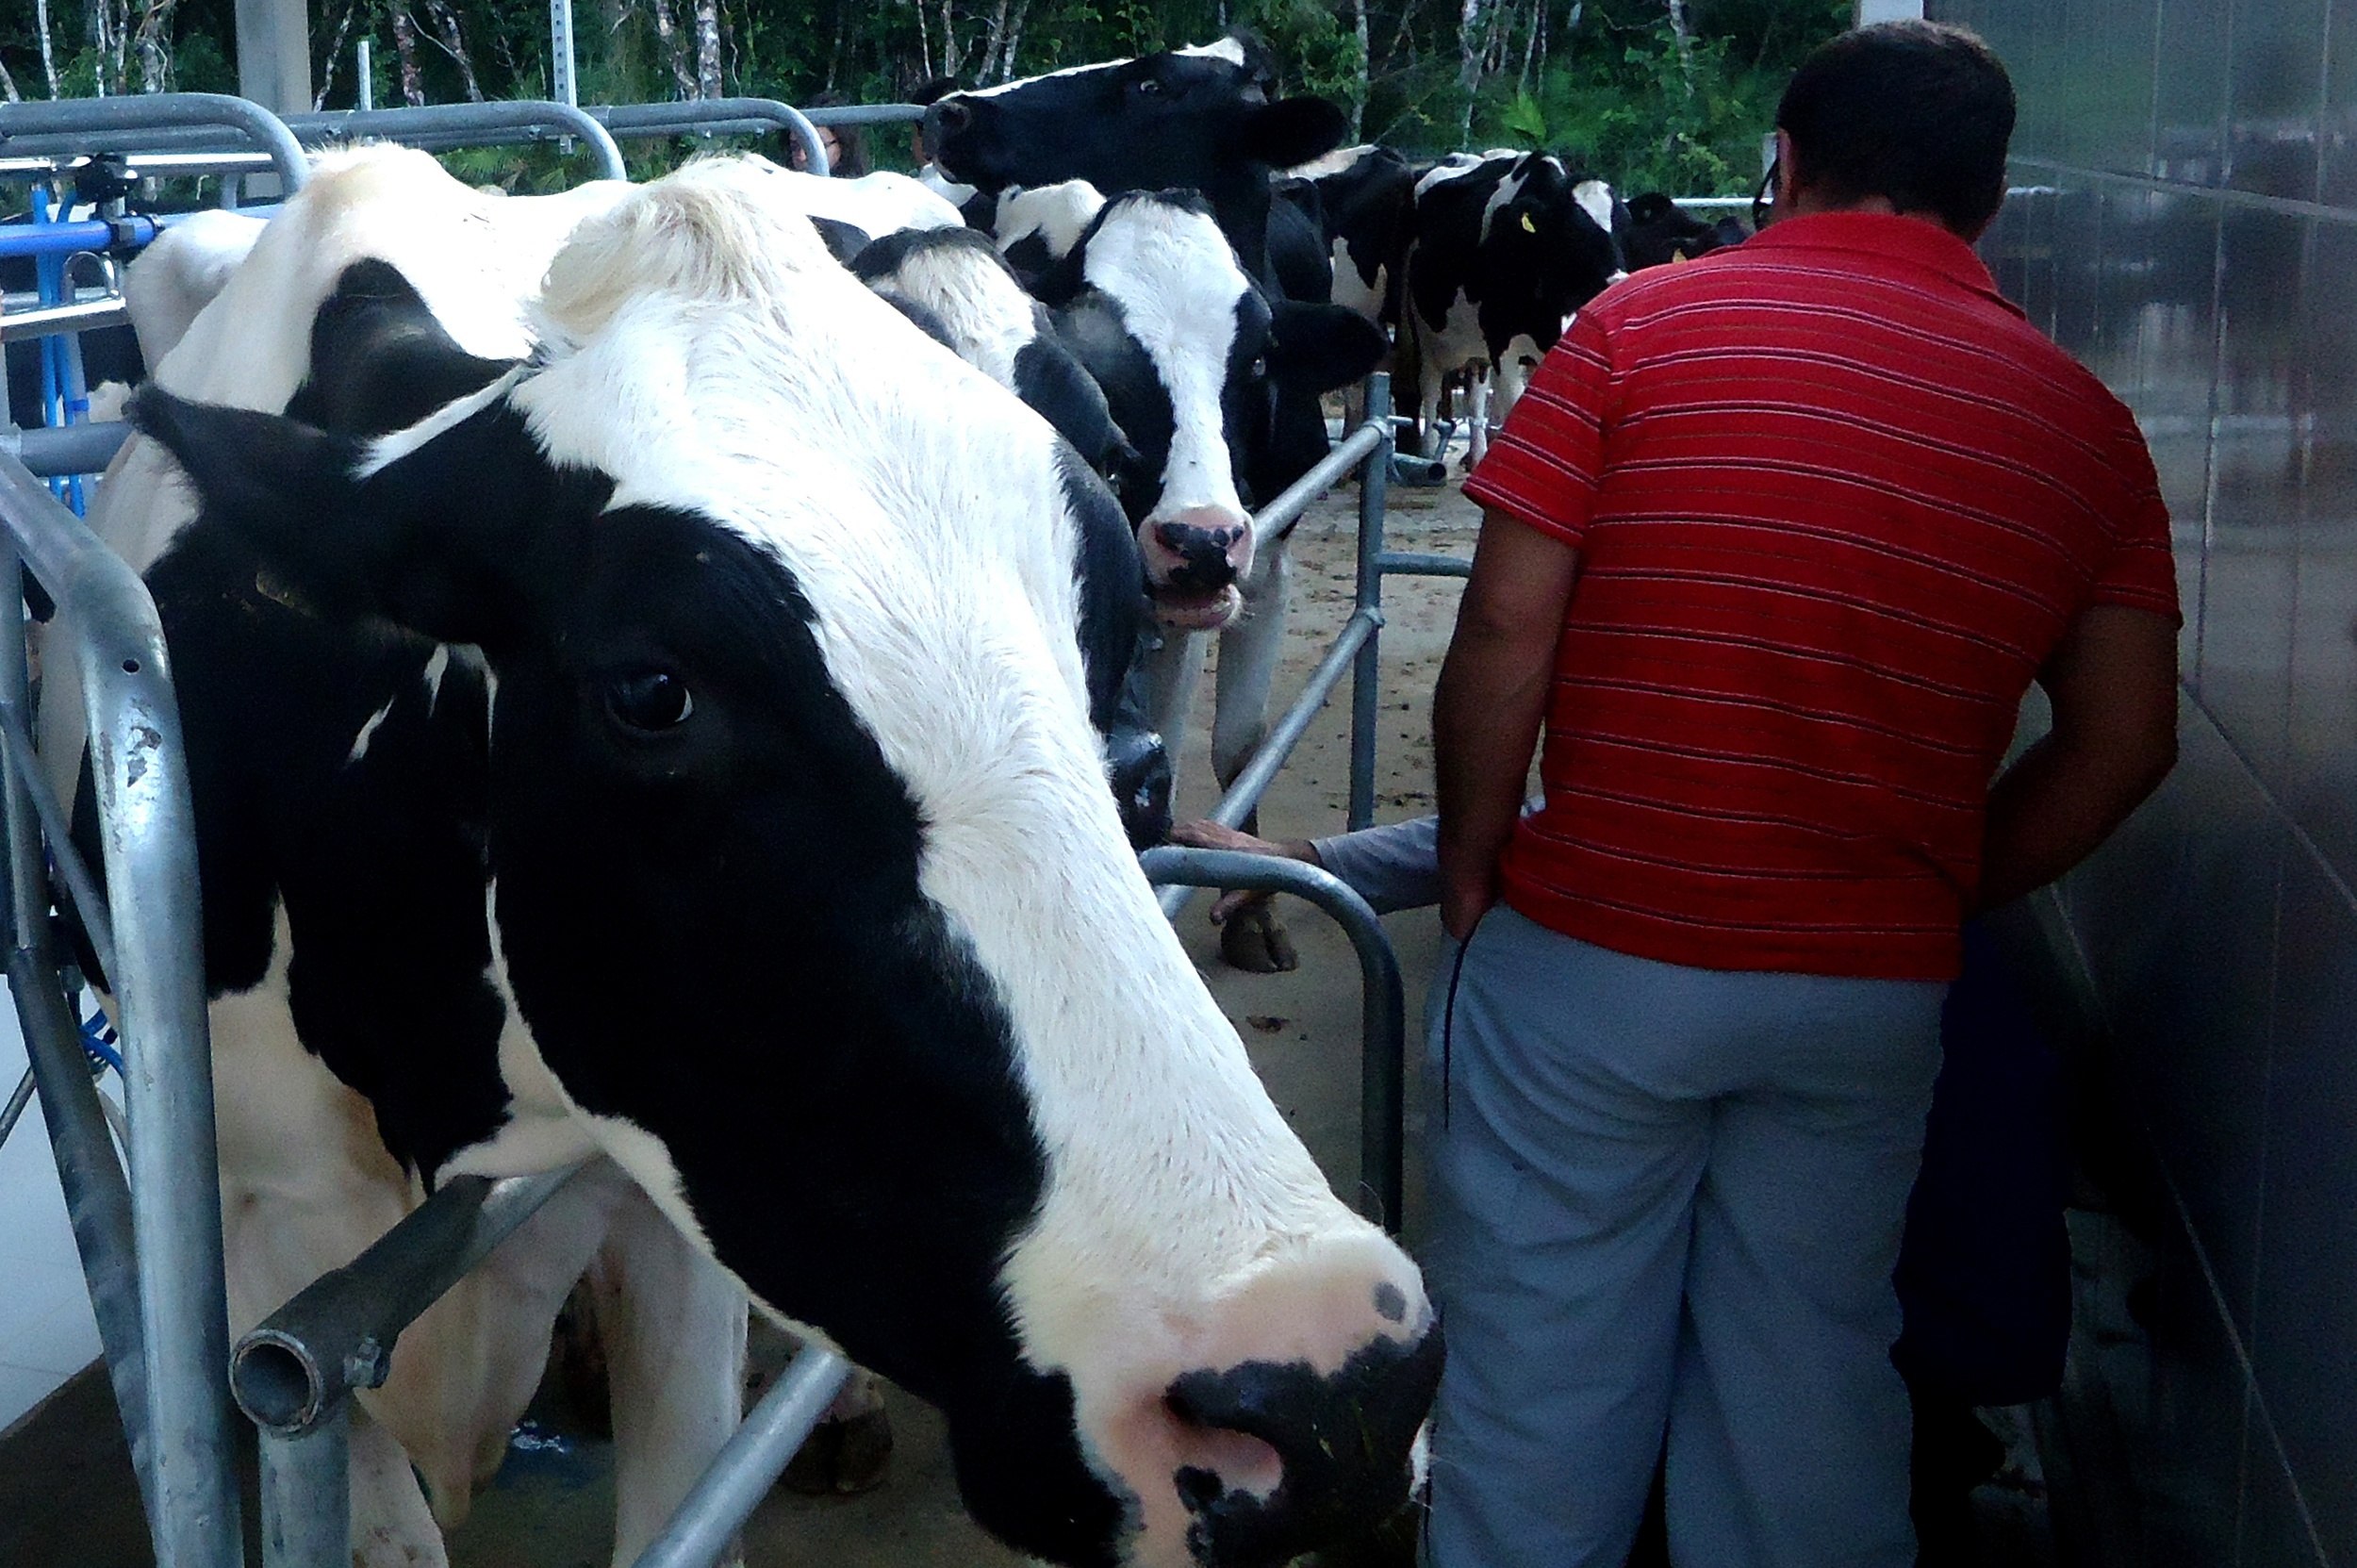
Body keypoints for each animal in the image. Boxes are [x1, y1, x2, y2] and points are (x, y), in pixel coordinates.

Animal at [1395, 149, 1622, 462]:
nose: (1619, 280)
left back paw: (1477, 454)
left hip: (1477, 348)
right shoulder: (1502, 341)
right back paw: (1428, 454)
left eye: (1619, 226)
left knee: (1476, 393)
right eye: (1573, 231)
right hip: (1425, 334)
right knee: (1429, 389)